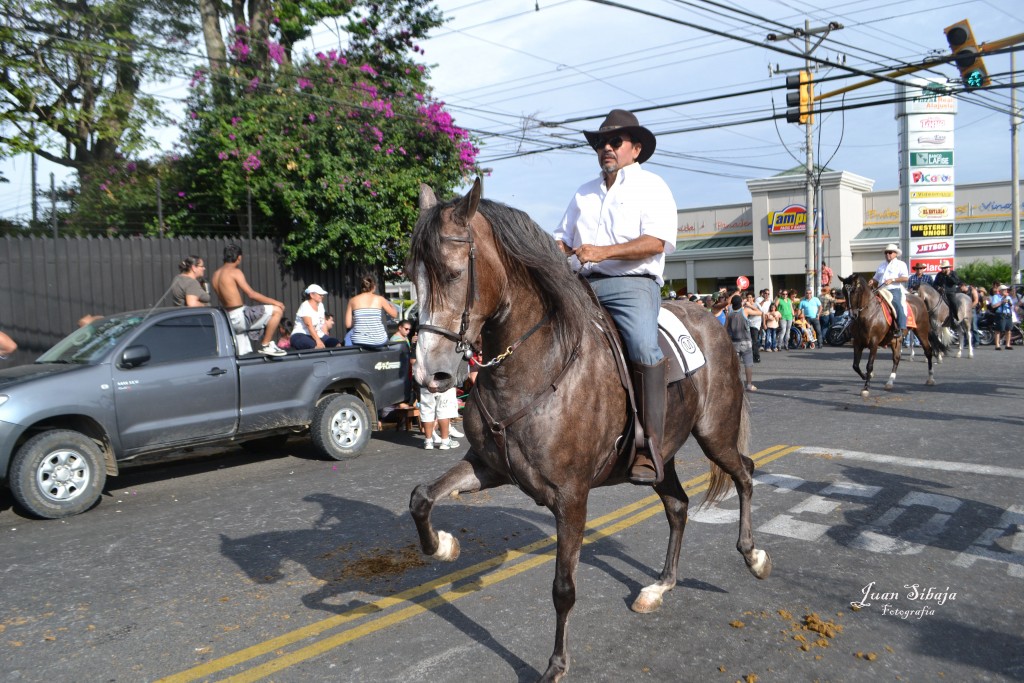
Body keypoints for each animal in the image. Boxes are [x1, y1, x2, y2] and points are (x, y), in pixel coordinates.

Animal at [407, 179, 770, 679]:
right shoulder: (488, 468)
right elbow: (422, 497)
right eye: (412, 276)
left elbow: (563, 587)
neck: (537, 365)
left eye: (454, 272)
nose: (430, 374)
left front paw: (557, 664)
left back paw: (753, 555)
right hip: (661, 458)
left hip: (715, 435)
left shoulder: (570, 497)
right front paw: (443, 546)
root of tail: (713, 325)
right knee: (678, 506)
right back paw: (660, 586)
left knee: (746, 472)